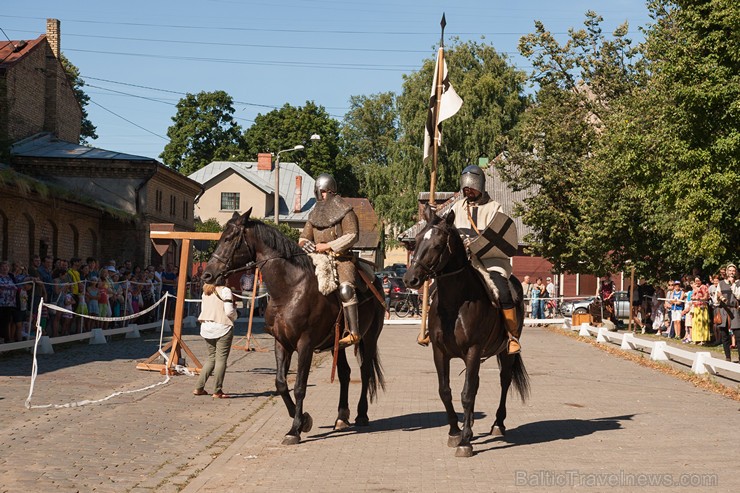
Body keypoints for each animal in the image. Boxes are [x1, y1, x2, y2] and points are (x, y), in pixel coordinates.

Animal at [202, 209, 388, 444]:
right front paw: (303, 420)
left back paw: (361, 414)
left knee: (364, 372)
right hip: (338, 343)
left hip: (370, 337)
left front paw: (294, 430)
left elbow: (299, 386)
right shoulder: (282, 343)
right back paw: (341, 417)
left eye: (229, 238)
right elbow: (281, 383)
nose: (207, 274)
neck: (290, 289)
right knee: (345, 373)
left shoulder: (305, 345)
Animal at [402, 204, 528, 458]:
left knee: (504, 380)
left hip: (505, 352)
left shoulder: (472, 351)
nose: (411, 279)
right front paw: (455, 432)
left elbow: (467, 393)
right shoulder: (440, 352)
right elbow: (446, 391)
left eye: (438, 244)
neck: (455, 304)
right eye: (417, 240)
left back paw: (498, 424)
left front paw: (465, 441)